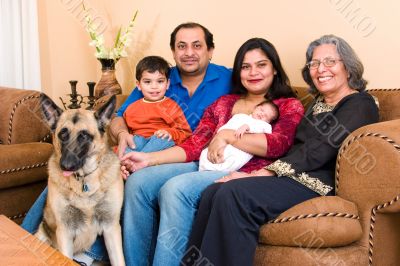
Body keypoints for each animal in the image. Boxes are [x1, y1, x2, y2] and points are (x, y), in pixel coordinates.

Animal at [36, 94, 126, 264]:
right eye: (62, 134)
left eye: (84, 136)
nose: (65, 166)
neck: (84, 181)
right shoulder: (64, 231)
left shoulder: (111, 228)